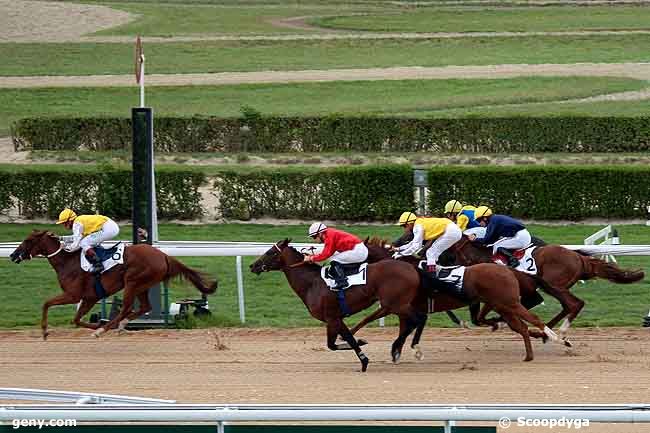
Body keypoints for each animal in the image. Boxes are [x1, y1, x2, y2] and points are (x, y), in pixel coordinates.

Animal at [9, 231, 218, 340]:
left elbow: (46, 303)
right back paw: (119, 325)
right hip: (143, 285)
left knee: (126, 307)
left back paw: (107, 328)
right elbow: (76, 319)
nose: (12, 255)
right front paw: (95, 325)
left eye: (28, 240)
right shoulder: (89, 297)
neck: (67, 262)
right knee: (144, 307)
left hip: (132, 282)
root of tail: (163, 255)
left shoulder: (73, 295)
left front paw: (45, 331)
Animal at [247, 238, 426, 370]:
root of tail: (412, 268)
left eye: (270, 252)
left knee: (416, 319)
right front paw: (361, 344)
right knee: (414, 320)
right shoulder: (333, 319)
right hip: (396, 304)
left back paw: (405, 348)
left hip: (396, 304)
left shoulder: (333, 318)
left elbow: (343, 341)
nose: (253, 266)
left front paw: (364, 361)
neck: (312, 283)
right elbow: (336, 342)